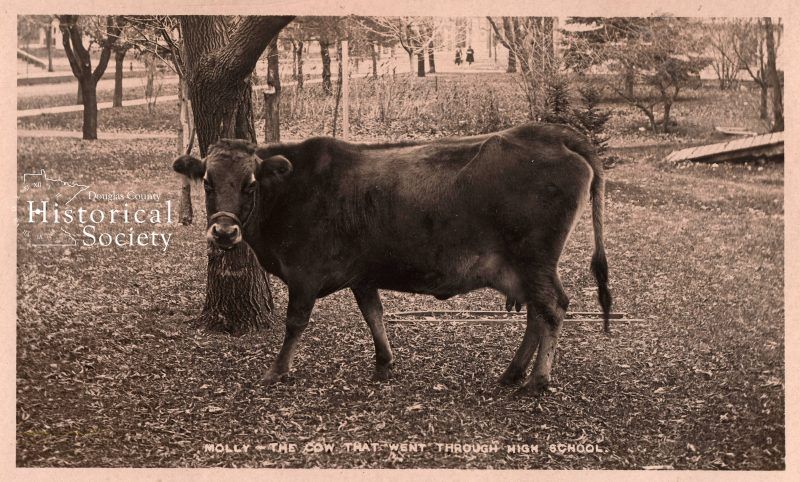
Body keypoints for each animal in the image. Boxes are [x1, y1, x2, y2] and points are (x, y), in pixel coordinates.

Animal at [173, 122, 611, 395]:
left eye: (249, 184)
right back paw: (513, 372)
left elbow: (295, 323)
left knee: (552, 307)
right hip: (525, 267)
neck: (293, 190)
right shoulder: (363, 272)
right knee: (537, 311)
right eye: (207, 182)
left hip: (535, 259)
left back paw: (538, 381)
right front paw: (384, 362)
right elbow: (374, 314)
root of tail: (551, 133)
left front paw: (277, 370)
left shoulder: (305, 274)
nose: (224, 232)